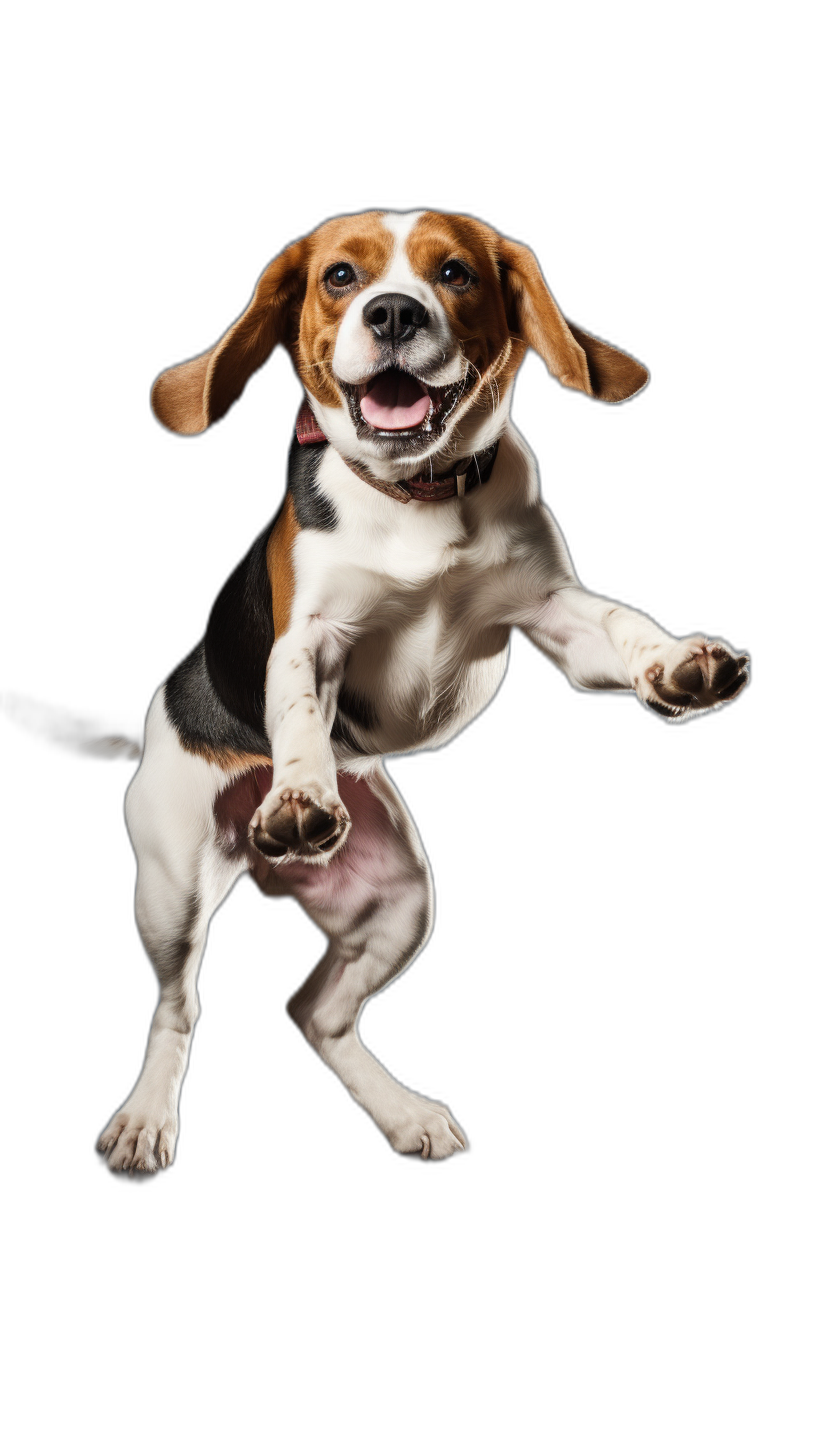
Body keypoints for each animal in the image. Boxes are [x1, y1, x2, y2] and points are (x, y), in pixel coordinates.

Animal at [87, 211, 746, 1176]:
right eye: (339, 276)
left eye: (457, 273)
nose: (394, 312)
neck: (417, 493)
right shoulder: (309, 639)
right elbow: (297, 712)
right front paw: (300, 789)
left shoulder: (554, 614)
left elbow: (619, 623)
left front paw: (676, 662)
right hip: (170, 889)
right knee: (180, 1006)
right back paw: (146, 1118)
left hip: (401, 903)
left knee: (315, 1014)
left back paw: (405, 1115)